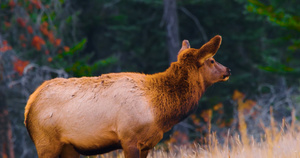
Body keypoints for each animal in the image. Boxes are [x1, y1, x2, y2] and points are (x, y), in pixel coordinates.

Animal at [25, 35, 232, 157]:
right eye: (212, 60)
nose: (228, 70)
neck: (160, 113)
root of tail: (28, 107)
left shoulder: (147, 144)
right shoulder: (129, 138)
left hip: (68, 148)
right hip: (46, 143)